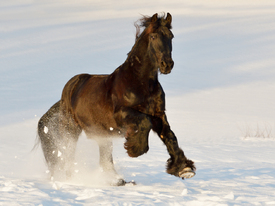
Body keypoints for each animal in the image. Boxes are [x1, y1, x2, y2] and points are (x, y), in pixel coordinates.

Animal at [37, 13, 196, 187]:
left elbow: (170, 136)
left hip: (102, 134)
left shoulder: (159, 115)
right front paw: (135, 149)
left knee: (104, 159)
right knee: (68, 154)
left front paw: (184, 169)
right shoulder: (122, 115)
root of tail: (70, 87)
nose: (167, 64)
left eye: (171, 36)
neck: (139, 83)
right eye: (154, 36)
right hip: (71, 129)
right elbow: (144, 122)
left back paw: (115, 180)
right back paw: (72, 179)